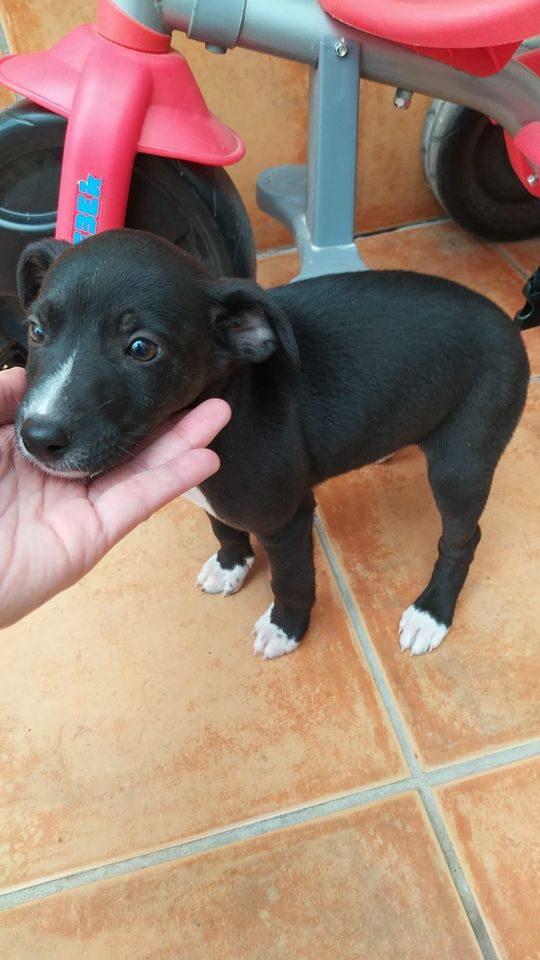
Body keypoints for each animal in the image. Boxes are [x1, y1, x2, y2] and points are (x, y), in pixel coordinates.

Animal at [14, 229, 529, 657]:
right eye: (36, 330)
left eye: (142, 348)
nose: (38, 438)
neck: (231, 399)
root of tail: (507, 321)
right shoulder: (211, 487)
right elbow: (223, 526)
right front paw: (231, 565)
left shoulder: (288, 519)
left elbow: (291, 579)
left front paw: (286, 628)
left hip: (461, 464)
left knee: (462, 538)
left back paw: (431, 613)